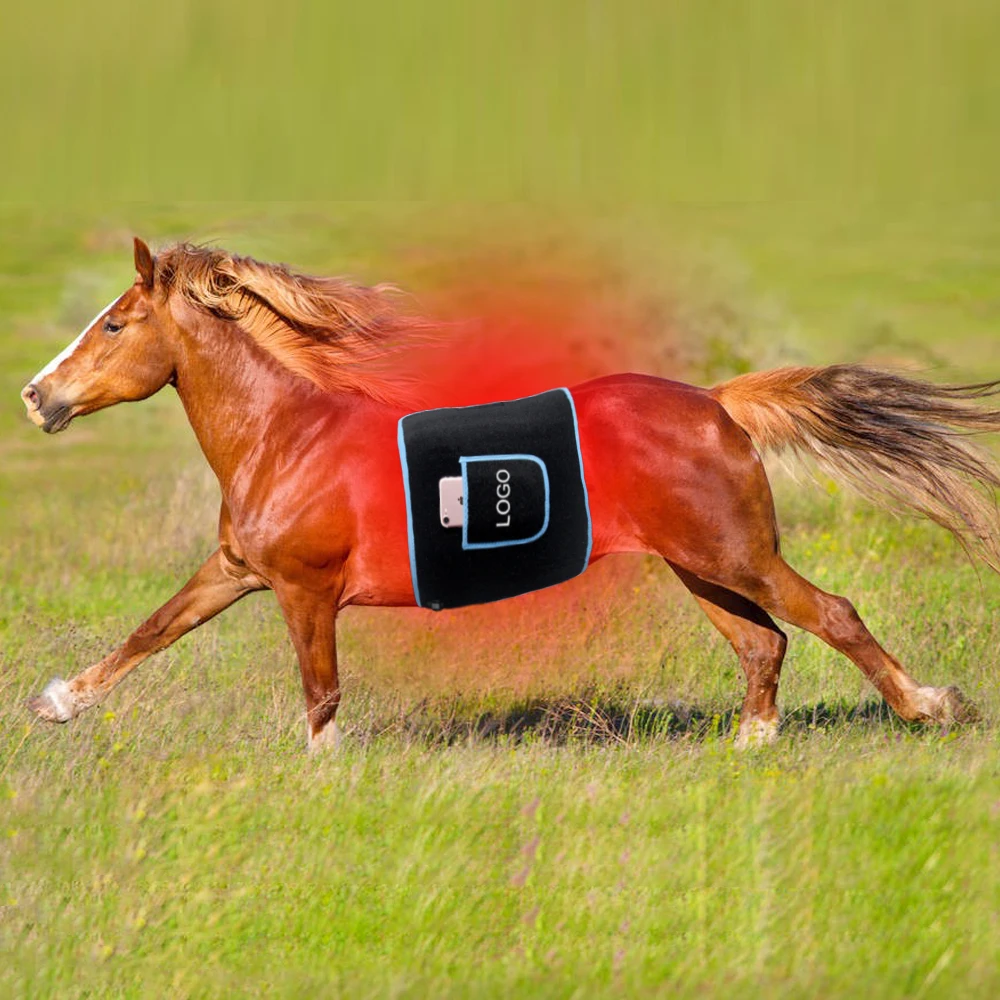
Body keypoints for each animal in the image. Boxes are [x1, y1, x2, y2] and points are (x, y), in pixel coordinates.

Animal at [19, 238, 1000, 749]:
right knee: (763, 645)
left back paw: (930, 707)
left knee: (830, 615)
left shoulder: (304, 588)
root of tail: (716, 402)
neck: (283, 436)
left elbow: (320, 693)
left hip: (737, 556)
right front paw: (55, 702)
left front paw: (322, 774)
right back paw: (750, 746)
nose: (36, 396)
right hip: (701, 565)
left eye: (114, 324)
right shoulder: (237, 569)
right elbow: (151, 631)